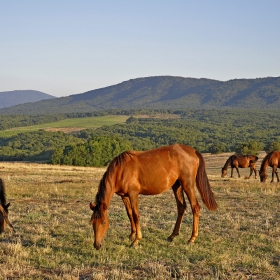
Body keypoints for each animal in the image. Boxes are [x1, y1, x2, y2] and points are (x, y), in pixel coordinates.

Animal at [89, 144, 217, 249]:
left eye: (103, 222)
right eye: (92, 222)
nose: (97, 245)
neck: (121, 169)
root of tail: (193, 151)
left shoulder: (133, 194)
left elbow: (136, 215)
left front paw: (136, 240)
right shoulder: (124, 196)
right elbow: (129, 214)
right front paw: (131, 235)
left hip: (188, 185)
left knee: (195, 207)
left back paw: (192, 239)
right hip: (177, 186)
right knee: (181, 208)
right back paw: (172, 235)